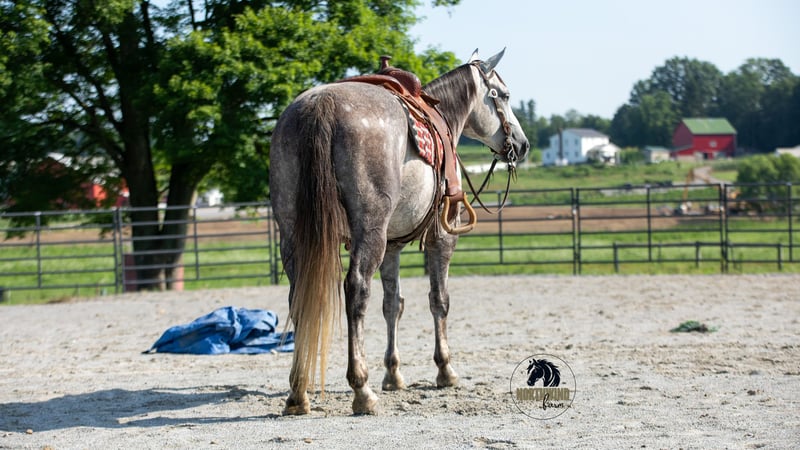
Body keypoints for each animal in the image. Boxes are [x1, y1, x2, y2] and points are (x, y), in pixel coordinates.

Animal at [269, 49, 530, 415]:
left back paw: (298, 392)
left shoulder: (391, 246)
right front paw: (445, 370)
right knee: (356, 290)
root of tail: (322, 107)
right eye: (503, 96)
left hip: (293, 233)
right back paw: (361, 390)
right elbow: (439, 300)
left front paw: (393, 374)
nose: (522, 144)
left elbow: (393, 304)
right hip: (369, 232)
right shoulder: (441, 239)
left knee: (300, 296)